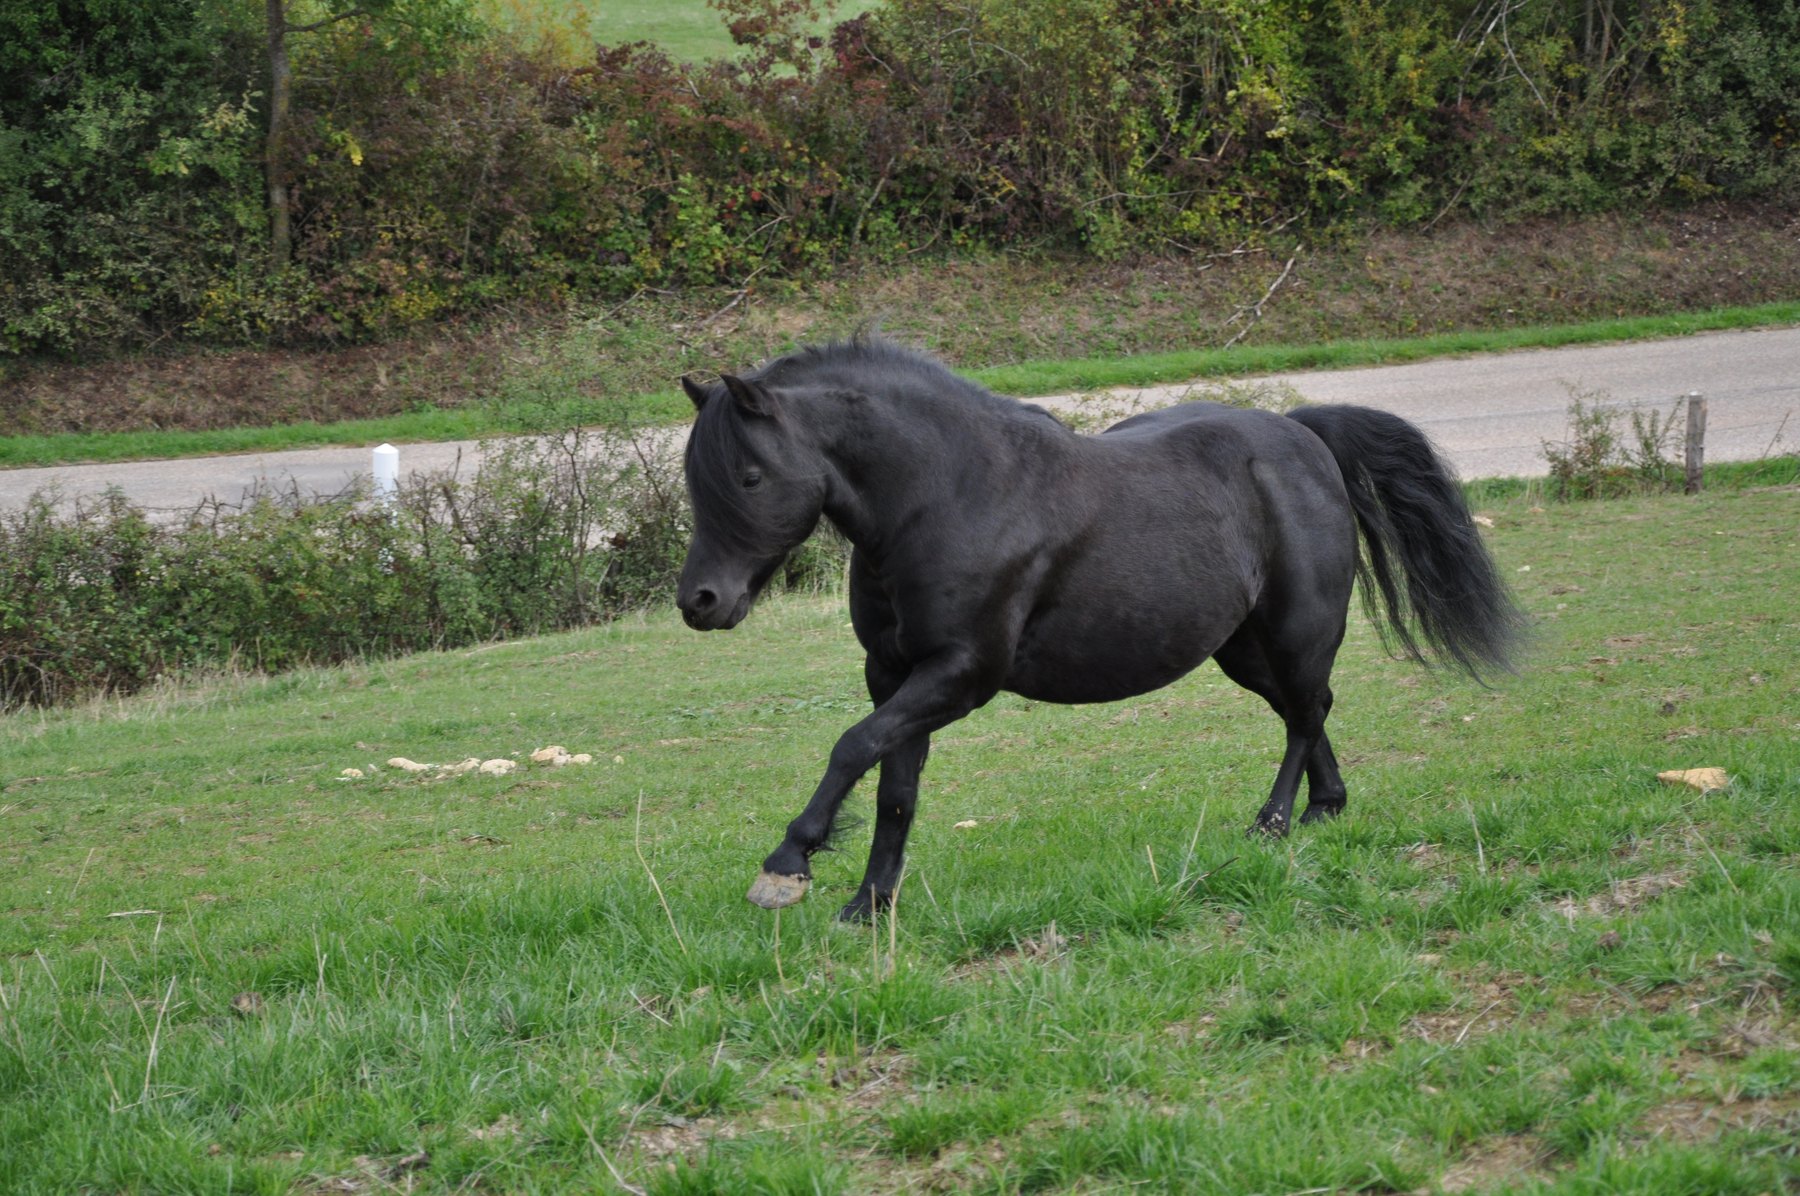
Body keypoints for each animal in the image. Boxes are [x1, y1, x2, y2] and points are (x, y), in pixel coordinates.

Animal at [675, 337, 1523, 920]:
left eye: (749, 475)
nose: (700, 602)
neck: (948, 495)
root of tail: (1301, 435)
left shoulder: (960, 675)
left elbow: (852, 747)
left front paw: (788, 865)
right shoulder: (896, 677)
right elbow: (894, 787)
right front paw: (871, 902)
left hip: (1295, 630)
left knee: (1305, 714)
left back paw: (1274, 822)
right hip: (1240, 649)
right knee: (1305, 712)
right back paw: (1325, 809)